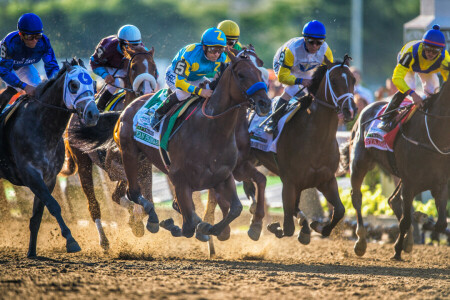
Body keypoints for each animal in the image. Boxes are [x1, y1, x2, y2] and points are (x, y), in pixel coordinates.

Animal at [0, 58, 98, 258]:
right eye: (73, 84)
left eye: (93, 83)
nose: (93, 114)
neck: (43, 127)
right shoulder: (31, 175)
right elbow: (53, 205)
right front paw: (71, 241)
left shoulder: (49, 177)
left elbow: (37, 215)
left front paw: (31, 251)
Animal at [59, 45, 158, 250]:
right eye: (134, 67)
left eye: (153, 68)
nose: (146, 92)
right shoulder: (113, 166)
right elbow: (130, 191)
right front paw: (137, 216)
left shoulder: (145, 165)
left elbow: (141, 197)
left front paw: (138, 220)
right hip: (83, 163)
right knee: (94, 204)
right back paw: (103, 240)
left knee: (114, 196)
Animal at [237, 55, 356, 244]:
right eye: (334, 81)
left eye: (353, 80)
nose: (350, 110)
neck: (315, 138)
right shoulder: (290, 182)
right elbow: (288, 227)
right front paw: (276, 227)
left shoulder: (327, 180)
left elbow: (339, 211)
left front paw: (318, 226)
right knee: (248, 187)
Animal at [342, 82, 450, 260]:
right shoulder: (410, 183)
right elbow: (405, 221)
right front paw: (398, 249)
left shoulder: (440, 184)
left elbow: (441, 224)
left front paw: (418, 222)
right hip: (359, 163)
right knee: (357, 196)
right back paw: (361, 242)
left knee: (393, 200)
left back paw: (409, 240)